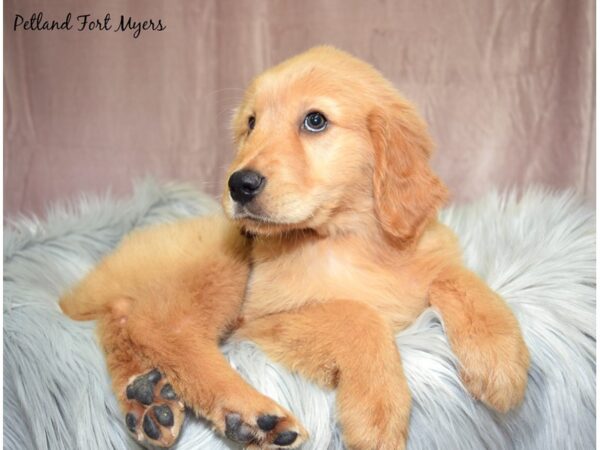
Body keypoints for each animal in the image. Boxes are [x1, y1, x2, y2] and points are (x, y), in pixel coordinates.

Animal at [59, 46, 528, 450]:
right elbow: (356, 316)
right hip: (222, 258)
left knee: (120, 321)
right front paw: (376, 413)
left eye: (315, 121)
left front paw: (500, 358)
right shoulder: (261, 321)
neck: (345, 237)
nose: (238, 184)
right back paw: (250, 416)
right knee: (163, 329)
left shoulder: (428, 253)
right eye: (251, 124)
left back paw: (146, 398)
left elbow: (461, 278)